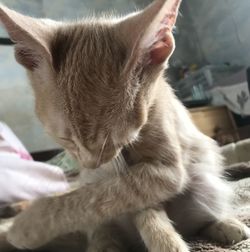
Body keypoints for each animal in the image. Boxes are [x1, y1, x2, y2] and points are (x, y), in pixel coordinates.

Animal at [0, 0, 250, 251]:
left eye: (116, 140)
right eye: (66, 139)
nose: (91, 164)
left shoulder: (166, 170)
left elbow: (100, 195)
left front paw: (27, 226)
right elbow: (108, 195)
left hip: (206, 185)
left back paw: (225, 225)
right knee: (104, 233)